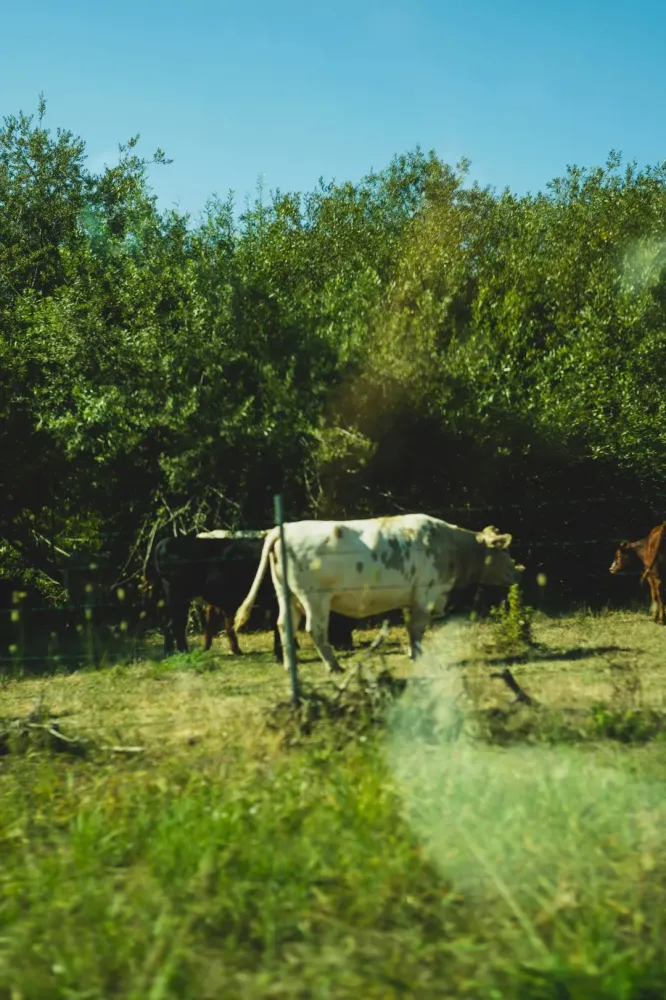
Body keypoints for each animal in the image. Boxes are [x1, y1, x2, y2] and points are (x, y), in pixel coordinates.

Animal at [234, 514, 523, 674]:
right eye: (504, 550)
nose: (519, 571)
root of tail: (282, 529)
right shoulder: (427, 594)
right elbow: (417, 627)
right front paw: (417, 655)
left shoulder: (411, 598)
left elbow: (410, 627)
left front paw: (413, 652)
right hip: (315, 597)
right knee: (314, 630)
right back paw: (333, 665)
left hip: (287, 595)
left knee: (285, 625)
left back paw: (290, 665)